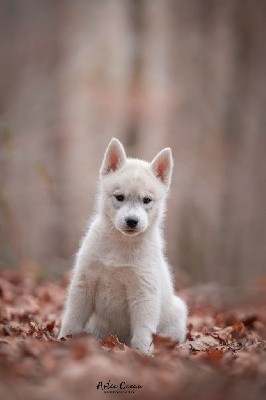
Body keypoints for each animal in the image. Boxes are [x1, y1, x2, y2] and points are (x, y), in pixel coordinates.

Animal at [59, 138, 187, 354]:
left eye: (146, 200)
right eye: (119, 197)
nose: (132, 221)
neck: (121, 244)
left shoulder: (144, 292)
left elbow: (143, 331)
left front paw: (141, 353)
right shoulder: (84, 283)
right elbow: (72, 318)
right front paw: (63, 340)